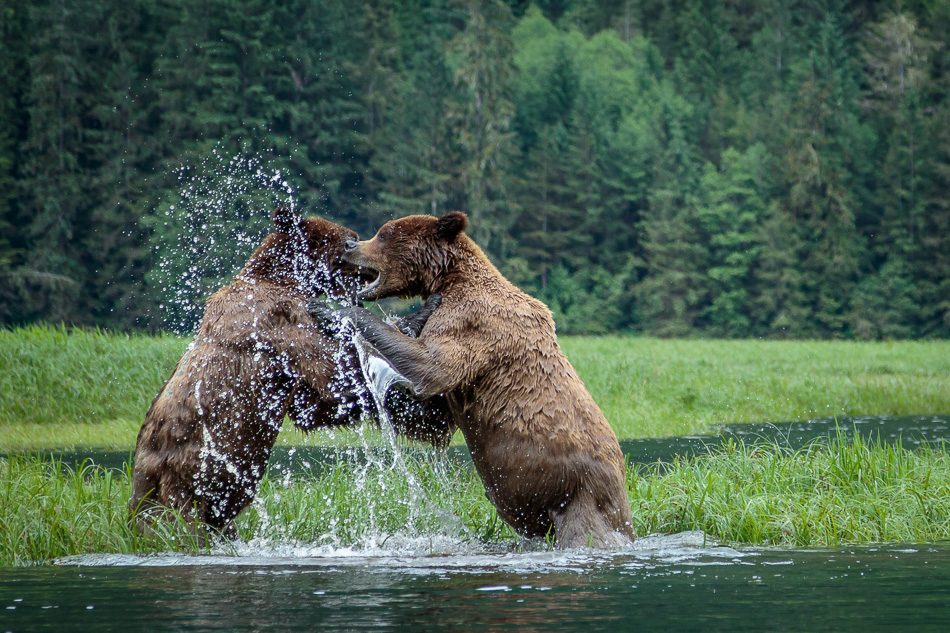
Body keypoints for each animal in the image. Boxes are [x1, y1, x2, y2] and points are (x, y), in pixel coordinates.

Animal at [129, 206, 453, 536]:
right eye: (349, 238)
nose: (359, 246)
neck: (285, 279)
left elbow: (315, 405)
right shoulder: (280, 323)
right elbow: (336, 376)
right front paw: (423, 311)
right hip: (188, 476)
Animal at [308, 211, 635, 548]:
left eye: (383, 234)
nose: (350, 245)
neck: (451, 278)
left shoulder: (471, 323)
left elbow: (432, 367)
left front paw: (332, 309)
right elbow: (426, 416)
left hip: (569, 491)